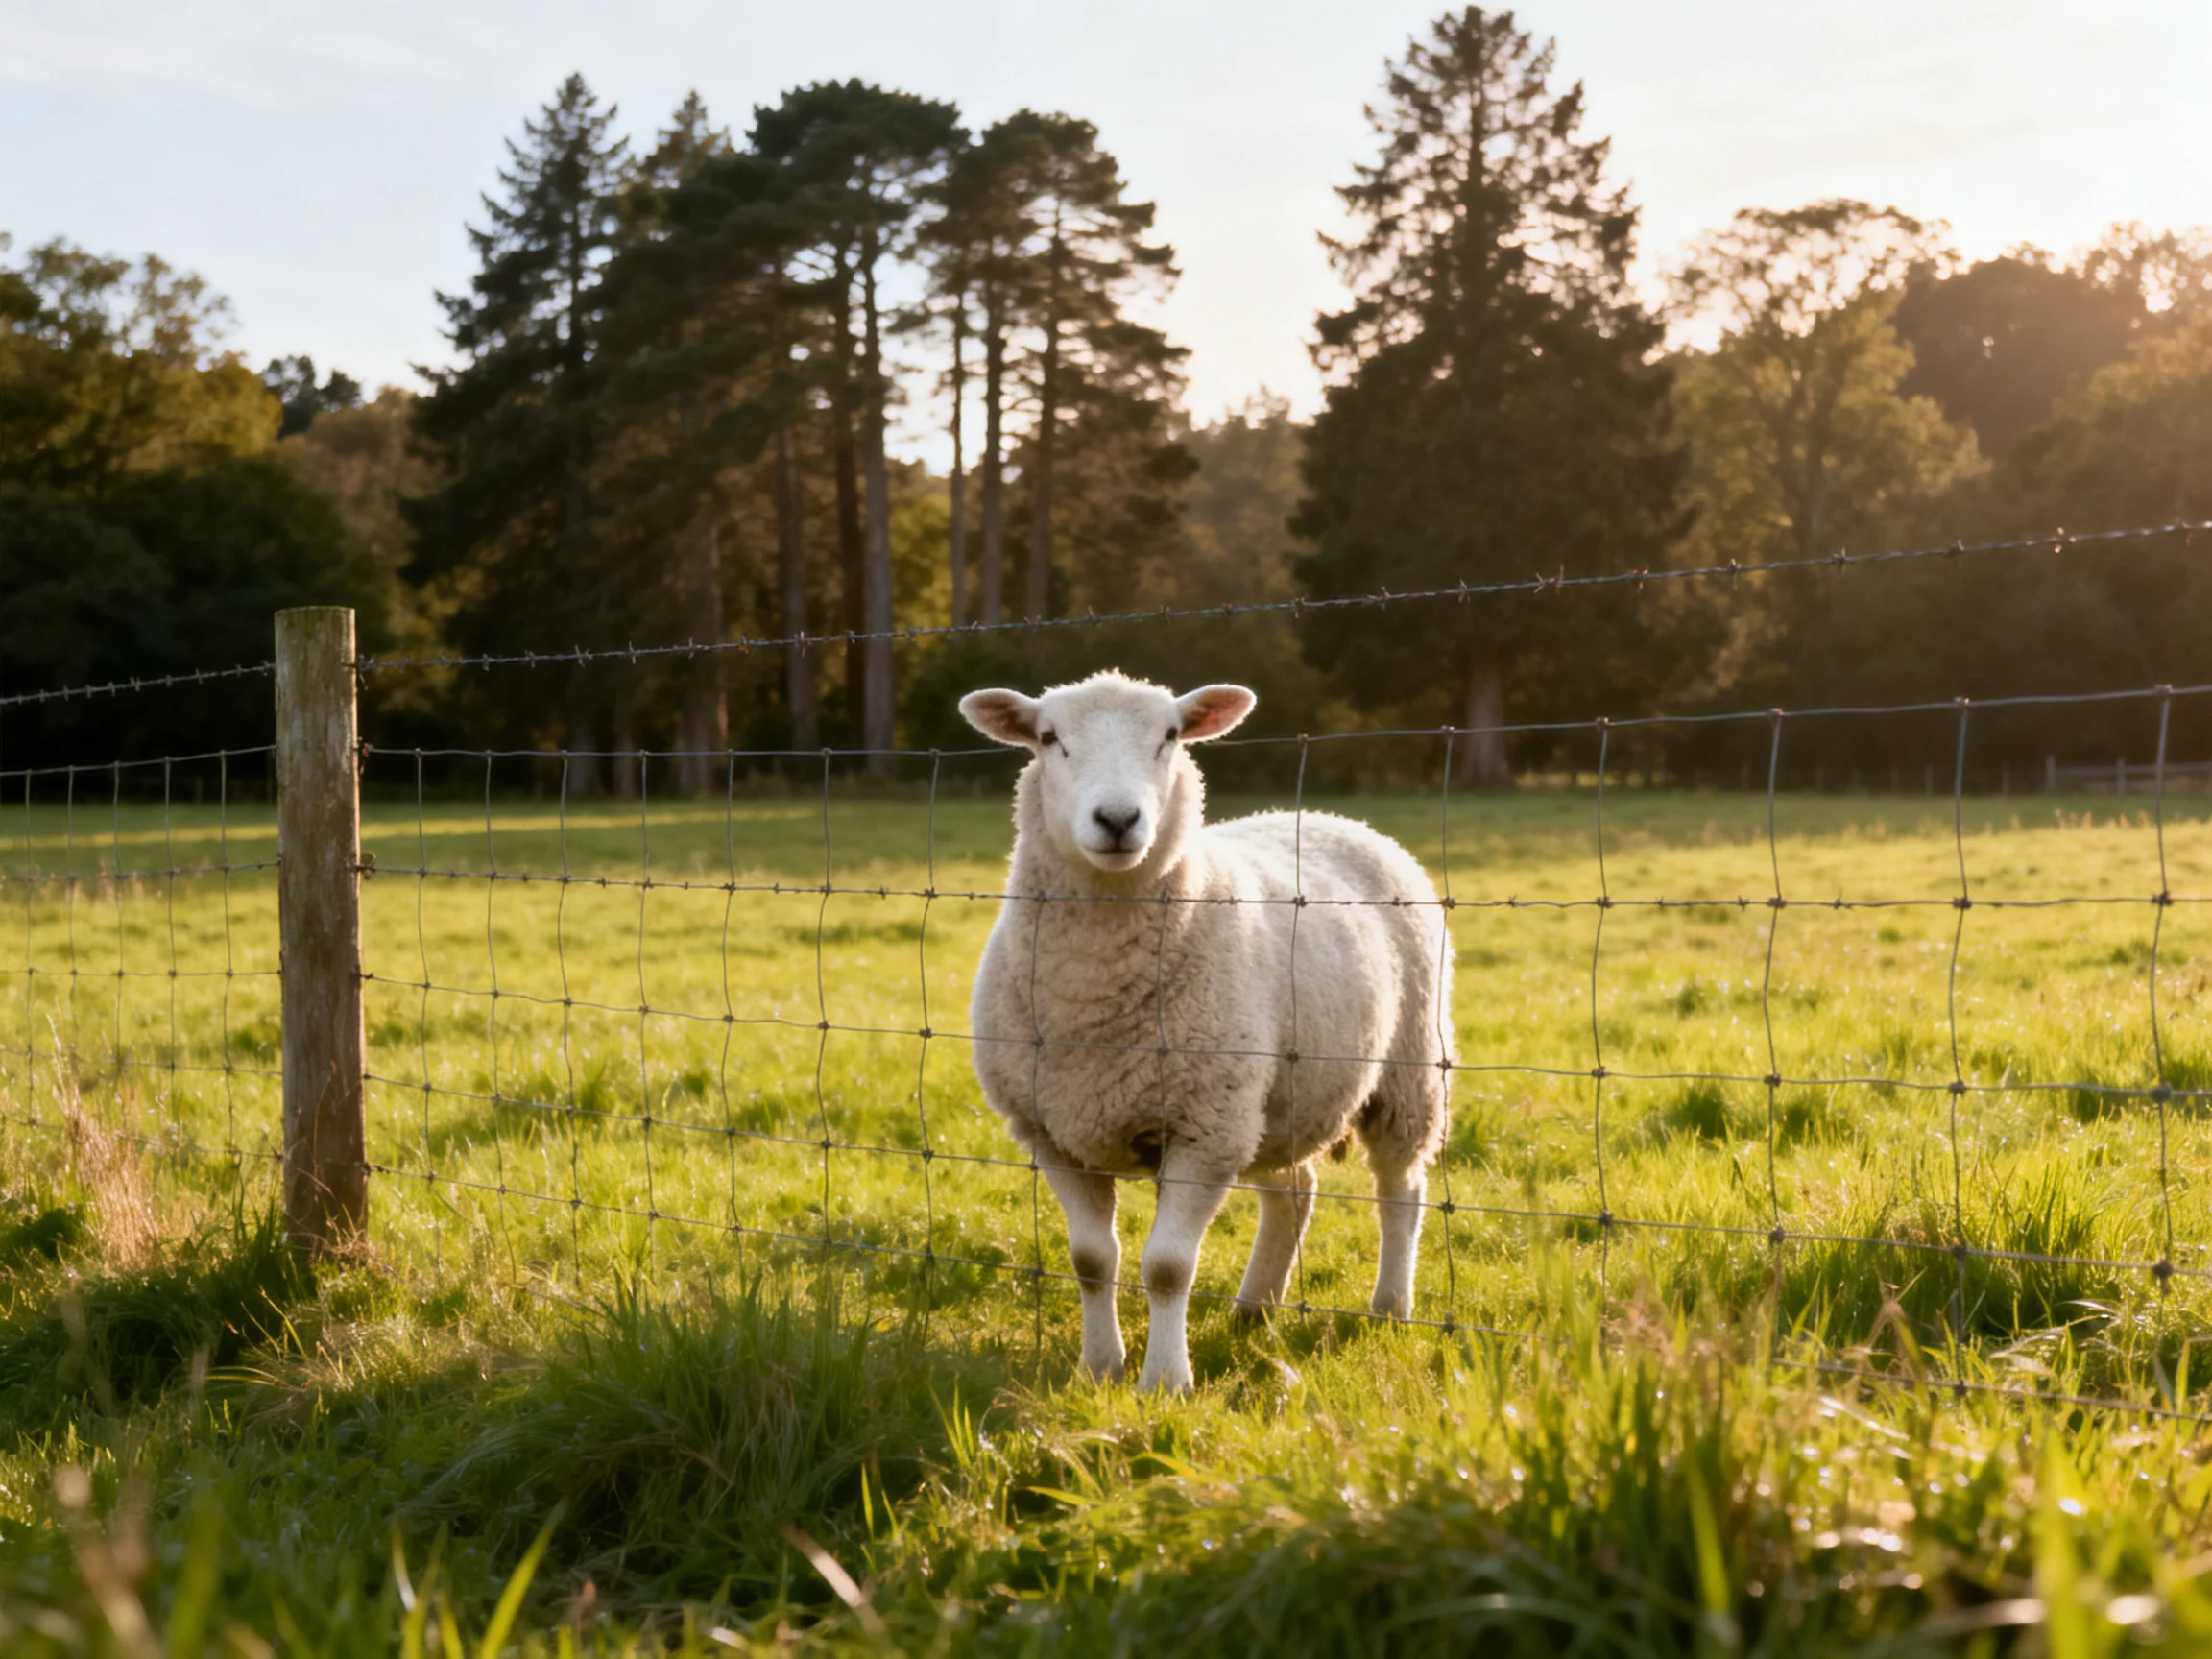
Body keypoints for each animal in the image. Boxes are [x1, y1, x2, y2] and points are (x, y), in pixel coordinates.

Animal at [960, 670, 1454, 1394]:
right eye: (1049, 738)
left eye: (1169, 736)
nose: (1118, 821)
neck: (1096, 1003)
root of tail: (1331, 818)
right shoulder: (1053, 1133)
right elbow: (1090, 1260)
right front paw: (1099, 1369)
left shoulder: (1204, 1131)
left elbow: (1167, 1267)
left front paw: (1165, 1383)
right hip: (1273, 1101)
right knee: (1294, 1191)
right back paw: (1255, 1307)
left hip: (1406, 1070)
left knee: (1401, 1191)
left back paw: (1390, 1306)